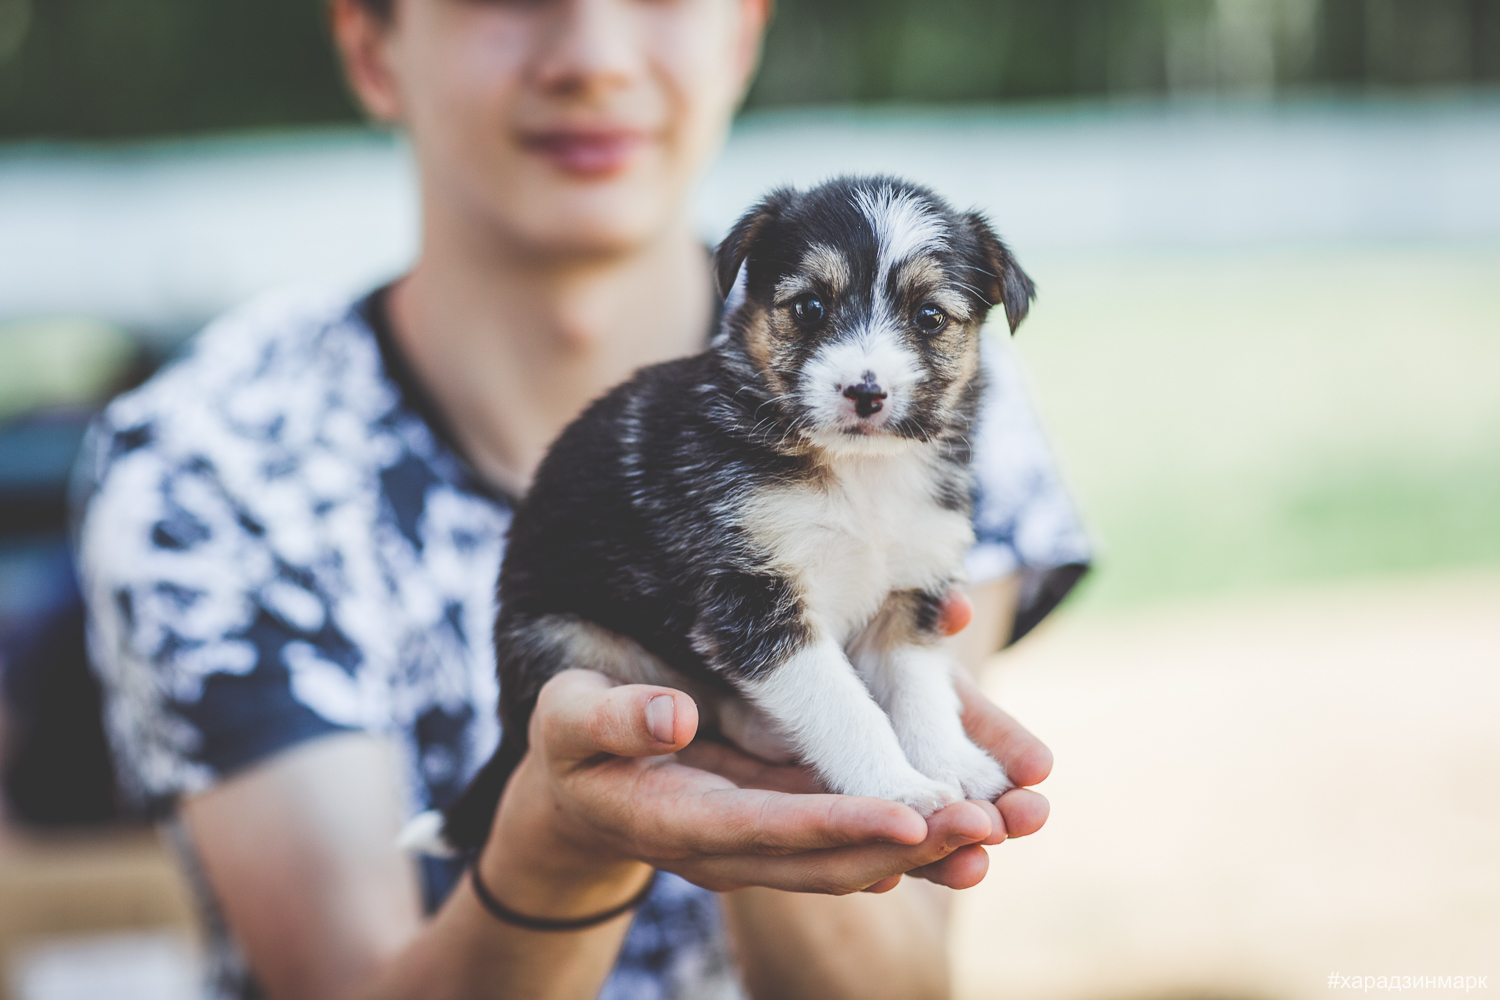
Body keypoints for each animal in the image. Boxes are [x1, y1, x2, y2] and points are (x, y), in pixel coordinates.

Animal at [405, 176, 1038, 857]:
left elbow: (921, 693)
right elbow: (842, 704)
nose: (865, 394)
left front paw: (953, 763)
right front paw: (895, 787)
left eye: (929, 318)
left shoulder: (910, 595)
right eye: (809, 307)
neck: (858, 473)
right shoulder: (751, 597)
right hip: (574, 641)